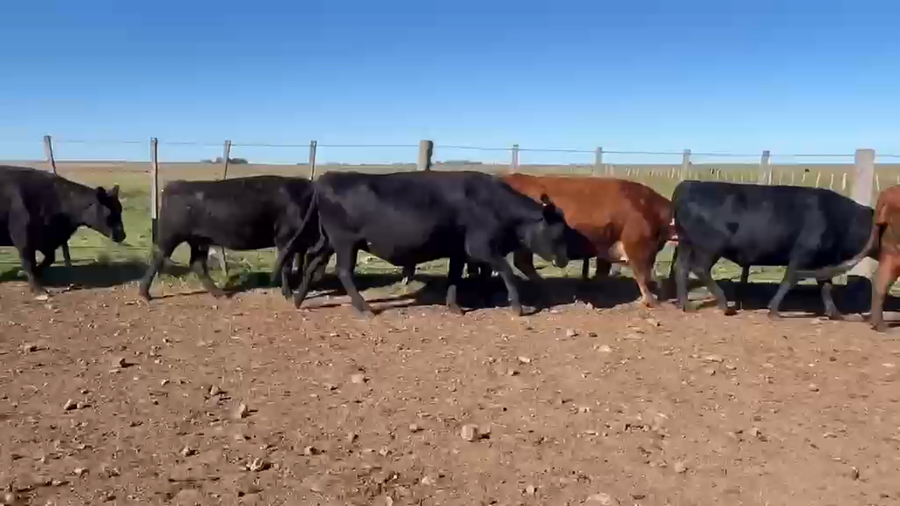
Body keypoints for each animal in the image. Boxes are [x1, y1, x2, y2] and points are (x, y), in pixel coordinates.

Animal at [0, 165, 126, 295]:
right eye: (110, 213)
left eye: (120, 210)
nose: (122, 235)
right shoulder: (23, 238)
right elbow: (29, 263)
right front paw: (39, 290)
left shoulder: (47, 241)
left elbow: (49, 259)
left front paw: (32, 273)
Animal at [138, 175, 317, 301]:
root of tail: (175, 185)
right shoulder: (285, 239)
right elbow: (286, 266)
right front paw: (288, 293)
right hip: (171, 237)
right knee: (158, 257)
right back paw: (145, 294)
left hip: (199, 240)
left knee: (197, 264)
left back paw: (219, 293)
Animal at [272, 170, 572, 317]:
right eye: (557, 233)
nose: (564, 259)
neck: (493, 204)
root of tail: (325, 179)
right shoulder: (480, 248)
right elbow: (507, 272)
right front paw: (517, 307)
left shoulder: (458, 251)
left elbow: (454, 278)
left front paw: (454, 307)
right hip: (346, 242)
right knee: (344, 271)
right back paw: (365, 309)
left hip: (330, 242)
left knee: (313, 263)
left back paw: (298, 300)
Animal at [669, 181, 878, 320]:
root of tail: (687, 184)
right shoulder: (802, 255)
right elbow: (789, 279)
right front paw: (774, 310)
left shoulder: (823, 261)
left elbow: (826, 286)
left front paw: (835, 313)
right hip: (709, 247)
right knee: (700, 269)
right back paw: (724, 304)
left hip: (686, 244)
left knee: (681, 268)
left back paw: (685, 304)